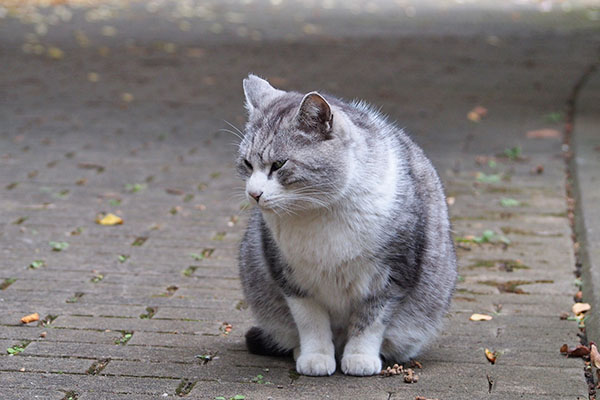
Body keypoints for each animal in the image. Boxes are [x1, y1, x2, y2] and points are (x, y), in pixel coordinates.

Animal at [237, 76, 458, 378]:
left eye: (279, 164)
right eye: (247, 163)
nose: (253, 193)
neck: (319, 213)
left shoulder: (392, 276)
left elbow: (370, 322)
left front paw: (360, 358)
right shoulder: (289, 276)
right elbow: (310, 322)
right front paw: (315, 357)